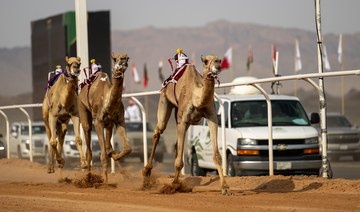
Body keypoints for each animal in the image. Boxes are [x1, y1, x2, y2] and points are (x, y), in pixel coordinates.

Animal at [77, 52, 132, 181]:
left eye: (127, 58)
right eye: (115, 59)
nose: (123, 60)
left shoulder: (118, 120)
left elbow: (127, 148)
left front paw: (116, 157)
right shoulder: (98, 122)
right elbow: (103, 155)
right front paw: (105, 181)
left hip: (108, 125)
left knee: (108, 147)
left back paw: (125, 174)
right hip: (82, 108)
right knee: (89, 149)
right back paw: (88, 177)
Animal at [142, 55, 229, 195]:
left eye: (220, 60)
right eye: (206, 61)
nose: (217, 66)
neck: (196, 97)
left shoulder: (212, 118)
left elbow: (217, 156)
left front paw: (225, 188)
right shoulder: (183, 120)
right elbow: (179, 161)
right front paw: (173, 185)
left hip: (181, 117)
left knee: (177, 145)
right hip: (165, 101)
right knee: (158, 132)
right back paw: (146, 172)